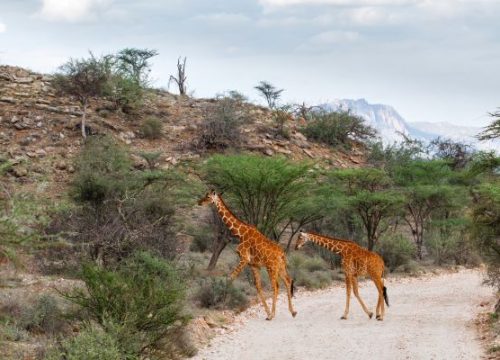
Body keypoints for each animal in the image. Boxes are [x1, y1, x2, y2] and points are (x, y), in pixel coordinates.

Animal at [196, 191, 296, 320]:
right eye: (205, 195)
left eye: (208, 197)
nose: (199, 202)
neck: (240, 233)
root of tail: (282, 253)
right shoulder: (253, 264)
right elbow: (257, 286)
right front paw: (267, 312)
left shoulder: (244, 259)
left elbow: (230, 278)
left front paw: (222, 304)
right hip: (280, 267)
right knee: (288, 281)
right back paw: (292, 312)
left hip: (271, 267)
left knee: (276, 286)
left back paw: (273, 315)